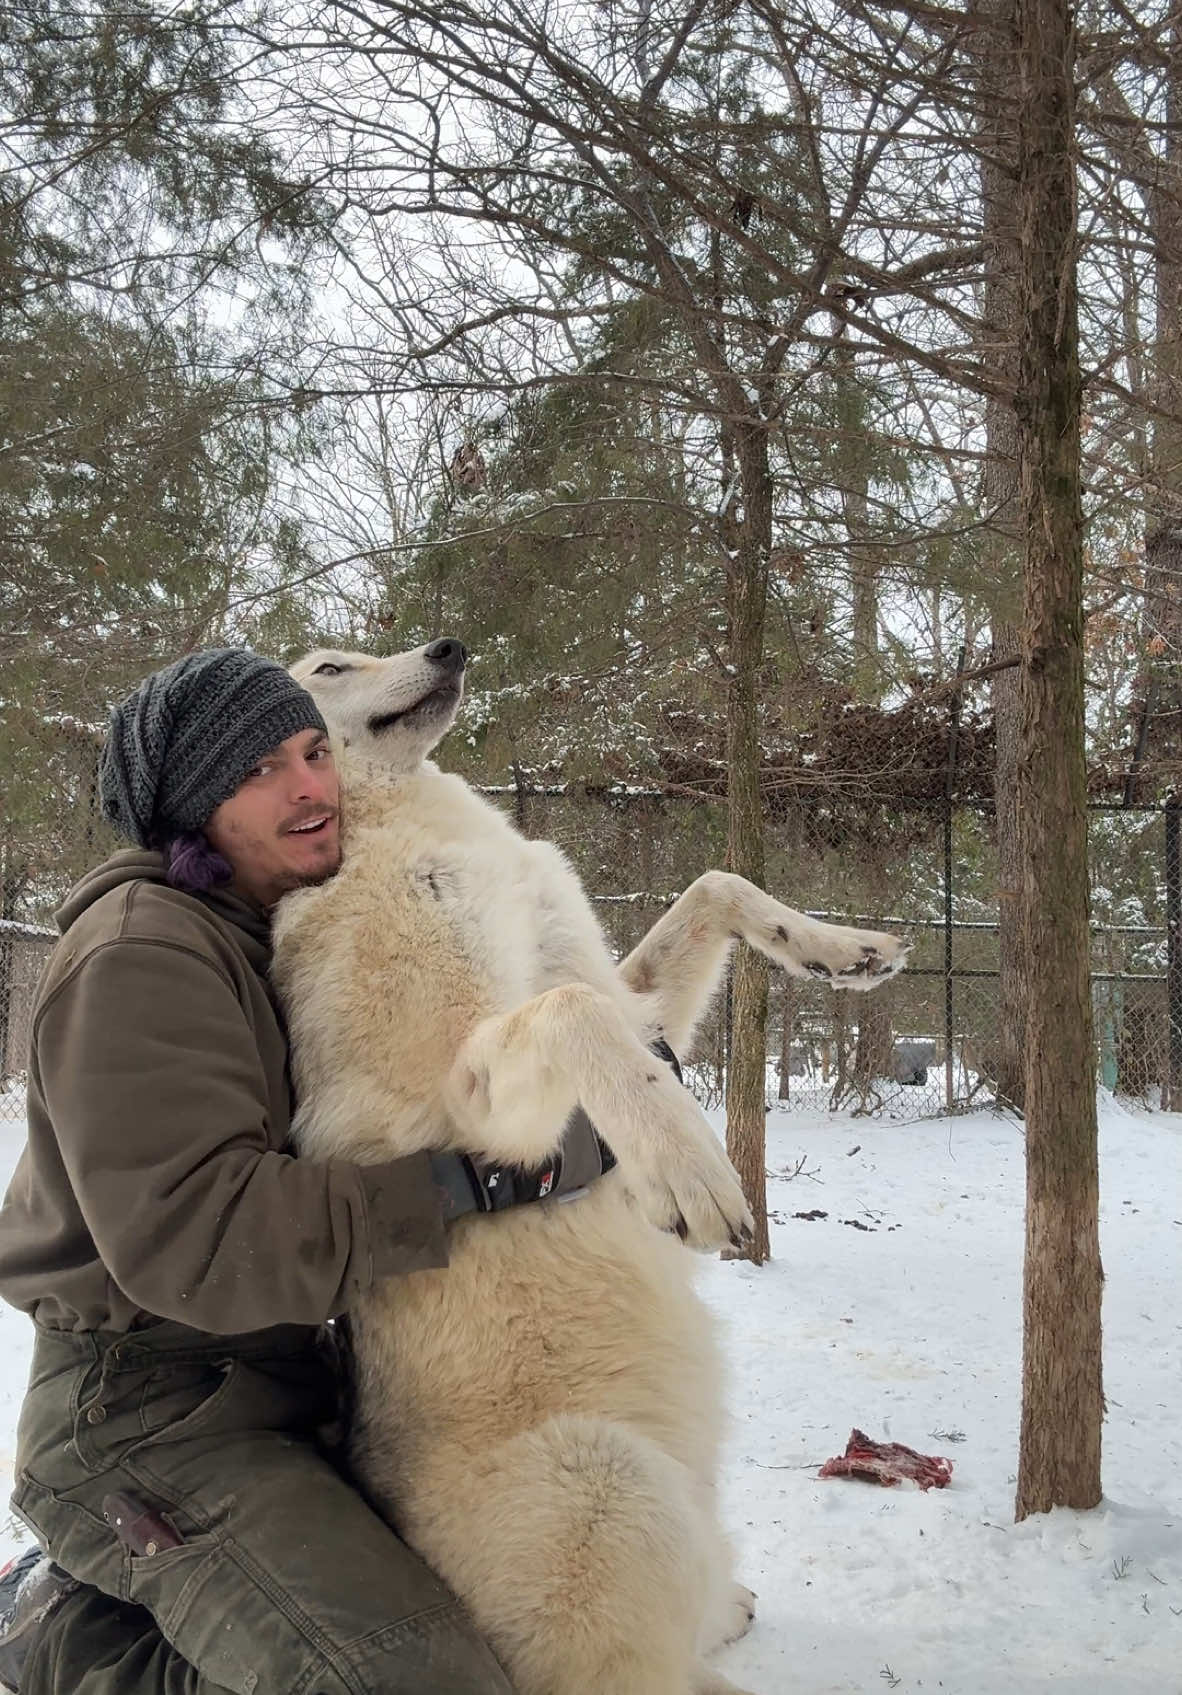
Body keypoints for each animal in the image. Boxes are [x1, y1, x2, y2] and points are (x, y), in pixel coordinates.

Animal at [274, 637, 902, 1695]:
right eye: (328, 664)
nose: (448, 646)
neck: (404, 825)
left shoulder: (648, 1012)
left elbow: (716, 887)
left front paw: (844, 950)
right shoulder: (479, 1107)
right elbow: (571, 1012)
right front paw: (689, 1169)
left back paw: (732, 1606)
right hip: (614, 1479)